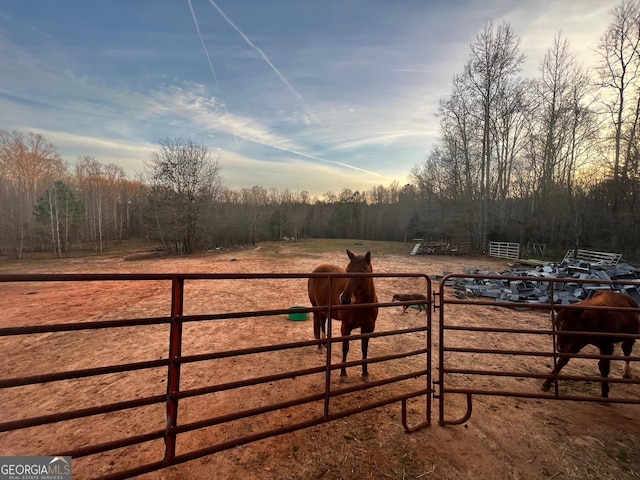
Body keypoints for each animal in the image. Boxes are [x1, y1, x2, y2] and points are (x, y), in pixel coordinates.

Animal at [308, 251, 378, 382]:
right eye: (347, 270)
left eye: (364, 271)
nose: (345, 299)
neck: (362, 306)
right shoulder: (345, 327)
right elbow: (345, 349)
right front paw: (343, 374)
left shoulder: (368, 329)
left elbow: (364, 349)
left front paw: (365, 373)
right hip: (316, 308)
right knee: (318, 324)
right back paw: (320, 346)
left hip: (325, 310)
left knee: (323, 322)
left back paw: (325, 344)